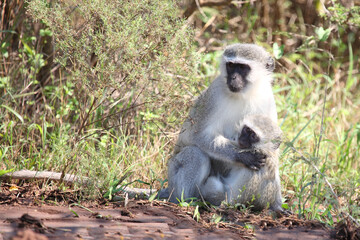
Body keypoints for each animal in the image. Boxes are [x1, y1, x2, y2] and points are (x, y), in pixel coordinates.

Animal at [165, 43, 280, 212]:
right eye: (231, 66)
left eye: (243, 67)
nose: (233, 78)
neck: (245, 94)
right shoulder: (215, 93)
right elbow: (199, 135)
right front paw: (243, 156)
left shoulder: (267, 98)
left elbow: (272, 148)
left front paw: (277, 204)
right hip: (173, 173)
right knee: (195, 154)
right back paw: (187, 201)